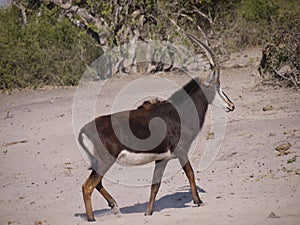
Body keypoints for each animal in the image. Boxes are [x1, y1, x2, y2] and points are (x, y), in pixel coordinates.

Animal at [78, 33, 234, 221]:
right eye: (217, 84)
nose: (231, 106)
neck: (178, 112)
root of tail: (84, 130)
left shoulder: (162, 158)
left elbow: (155, 185)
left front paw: (148, 211)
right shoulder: (181, 151)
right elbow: (190, 174)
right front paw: (198, 201)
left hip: (99, 162)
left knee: (97, 183)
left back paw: (114, 206)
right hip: (104, 161)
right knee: (87, 186)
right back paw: (92, 218)